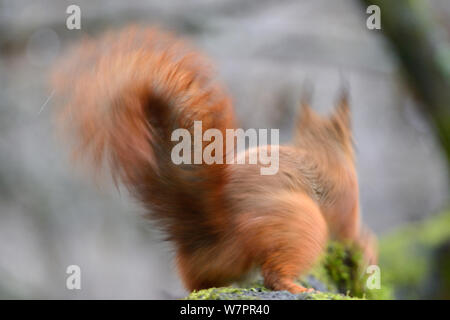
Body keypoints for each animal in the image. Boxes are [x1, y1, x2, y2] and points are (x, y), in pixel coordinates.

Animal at [51, 26, 378, 294]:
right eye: (353, 141)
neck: (321, 147)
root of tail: (215, 229)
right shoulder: (346, 202)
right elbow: (352, 234)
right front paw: (369, 251)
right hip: (300, 223)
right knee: (274, 273)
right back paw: (295, 286)